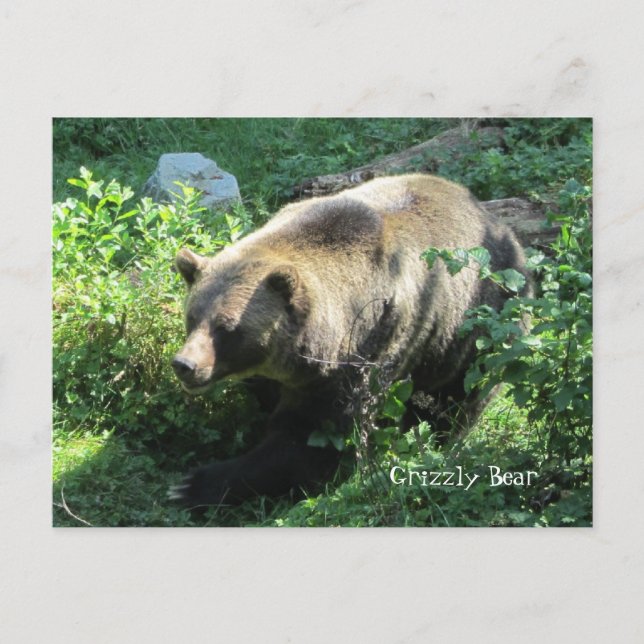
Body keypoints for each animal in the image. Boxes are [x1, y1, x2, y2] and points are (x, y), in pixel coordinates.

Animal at [168, 173, 530, 506]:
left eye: (227, 328)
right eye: (193, 317)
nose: (185, 365)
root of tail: (503, 229)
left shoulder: (364, 349)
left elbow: (316, 437)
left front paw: (191, 485)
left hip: (477, 327)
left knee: (455, 399)